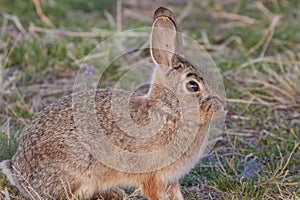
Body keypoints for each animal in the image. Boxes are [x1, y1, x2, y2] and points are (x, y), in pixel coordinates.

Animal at [0, 7, 225, 199]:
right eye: (193, 86)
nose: (223, 108)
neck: (169, 110)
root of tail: (18, 172)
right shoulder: (152, 176)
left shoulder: (171, 179)